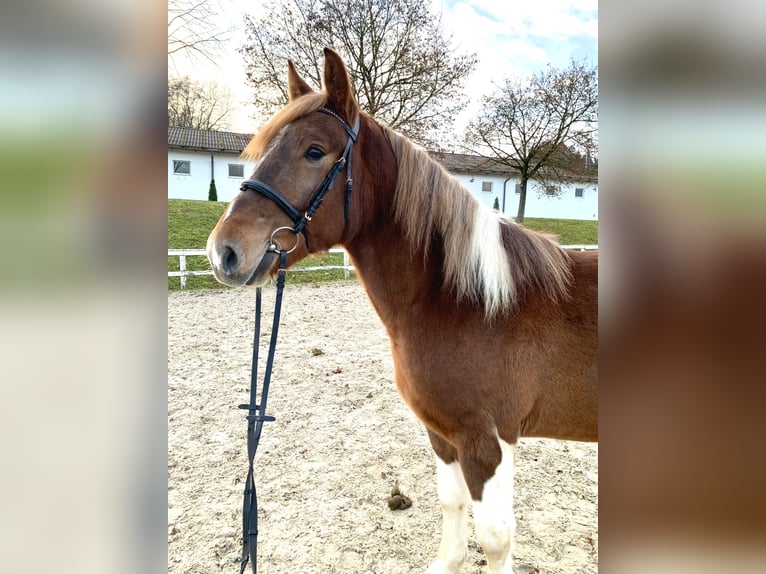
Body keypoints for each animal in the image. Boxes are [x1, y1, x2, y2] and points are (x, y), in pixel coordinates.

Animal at [207, 48, 597, 574]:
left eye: (314, 151)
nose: (224, 251)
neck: (469, 301)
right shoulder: (445, 435)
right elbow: (452, 508)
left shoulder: (488, 441)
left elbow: (495, 538)